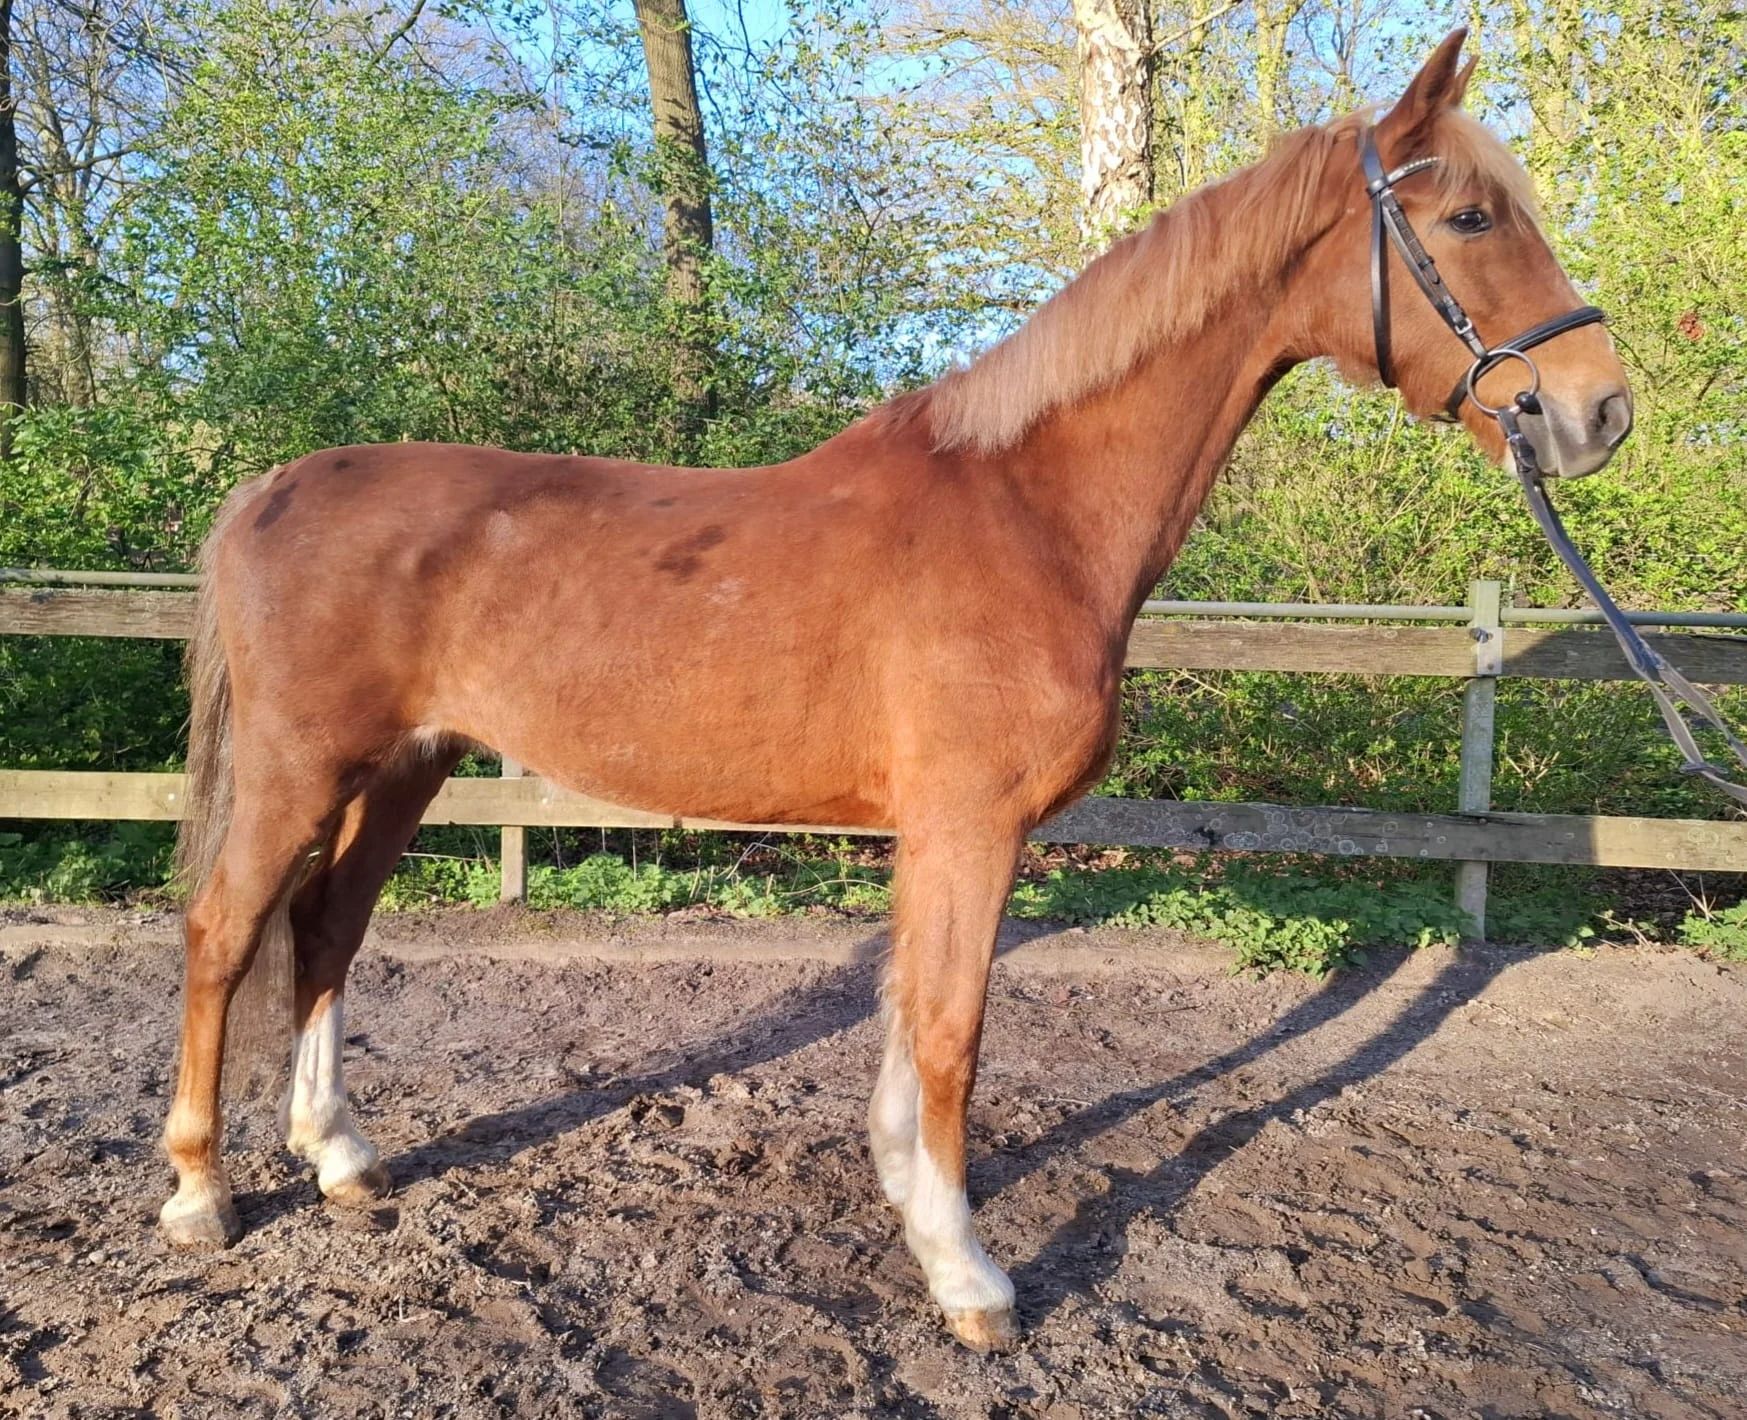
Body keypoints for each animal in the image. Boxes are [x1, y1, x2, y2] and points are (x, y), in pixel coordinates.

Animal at [159, 29, 1631, 1352]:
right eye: (1466, 215)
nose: (1596, 410)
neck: (1031, 509)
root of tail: (271, 486)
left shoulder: (934, 830)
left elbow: (909, 1013)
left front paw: (910, 1203)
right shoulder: (973, 823)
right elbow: (949, 1029)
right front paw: (968, 1275)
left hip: (405, 767)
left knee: (327, 930)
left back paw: (342, 1160)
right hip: (302, 769)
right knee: (226, 932)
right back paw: (198, 1194)